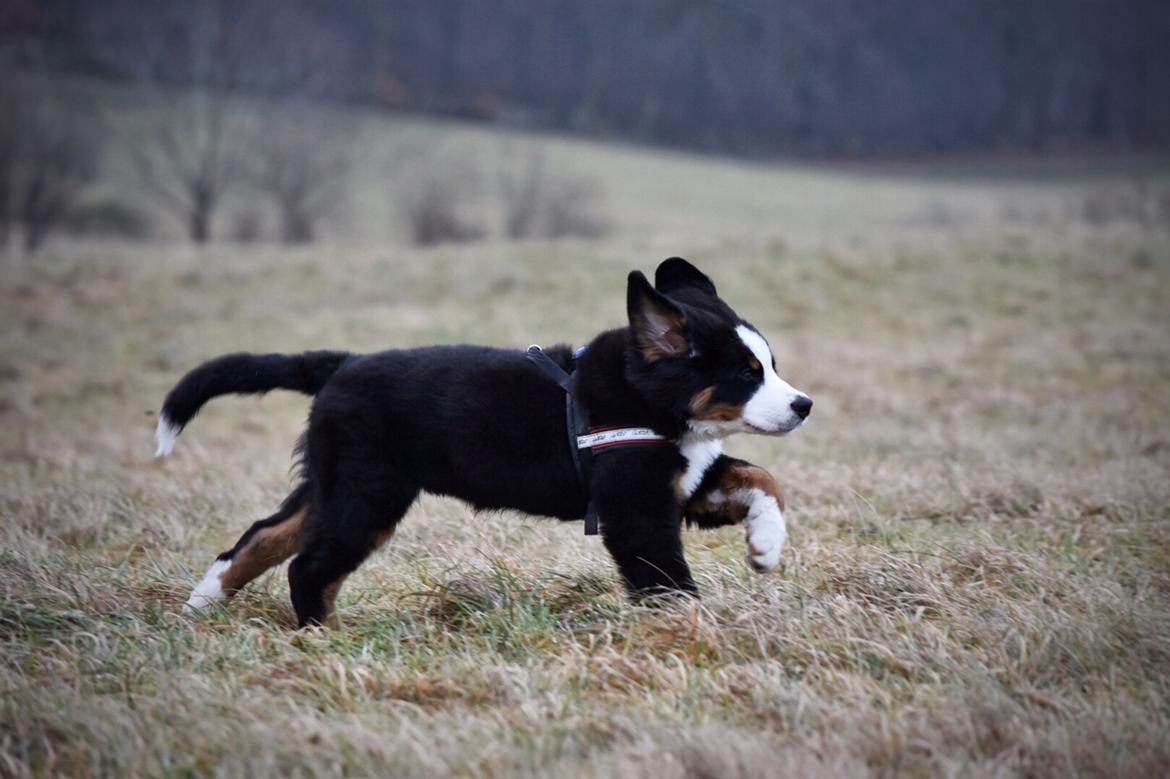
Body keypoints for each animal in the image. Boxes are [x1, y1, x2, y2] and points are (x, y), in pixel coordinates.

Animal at [160, 256, 809, 626]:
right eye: (747, 374)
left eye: (772, 366)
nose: (803, 406)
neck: (647, 398)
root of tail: (341, 364)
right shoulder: (638, 509)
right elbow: (670, 582)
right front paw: (698, 636)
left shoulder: (687, 484)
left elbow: (762, 479)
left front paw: (765, 546)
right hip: (367, 495)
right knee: (309, 568)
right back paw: (323, 642)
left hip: (334, 482)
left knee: (262, 537)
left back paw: (201, 605)